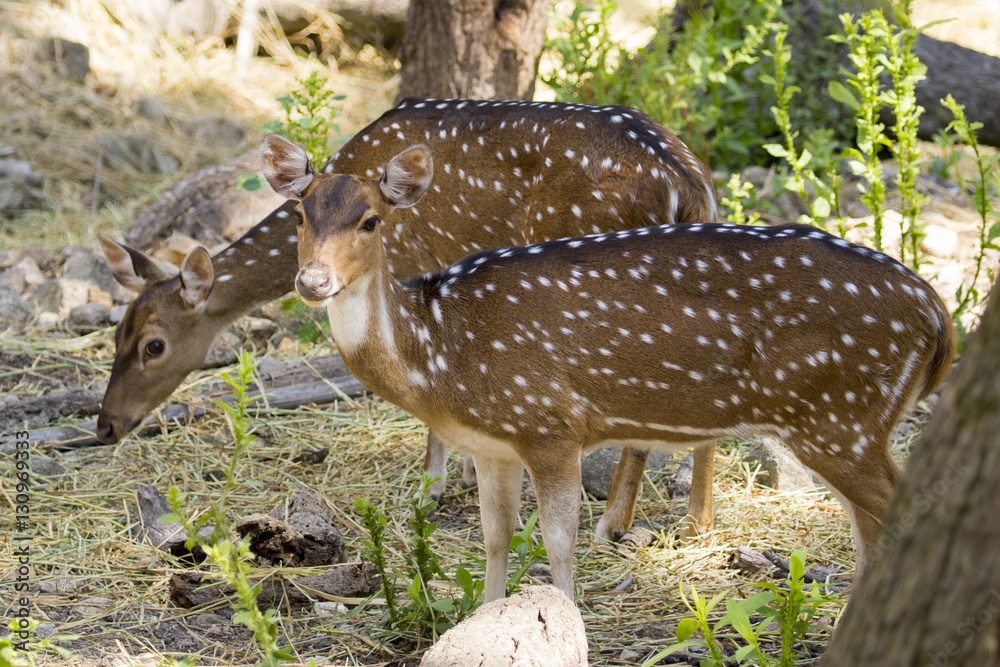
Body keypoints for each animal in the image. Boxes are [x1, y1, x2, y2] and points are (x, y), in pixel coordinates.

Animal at [96, 98, 718, 541]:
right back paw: (696, 521)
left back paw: (614, 522)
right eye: (116, 333)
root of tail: (686, 181)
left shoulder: (419, 266)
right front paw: (466, 472)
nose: (105, 425)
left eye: (154, 345)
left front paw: (431, 487)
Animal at [261, 135, 956, 602]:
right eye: (299, 215)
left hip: (839, 416)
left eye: (371, 220)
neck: (440, 355)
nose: (313, 281)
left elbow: (557, 541)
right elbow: (495, 537)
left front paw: (564, 618)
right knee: (872, 530)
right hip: (848, 423)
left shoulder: (550, 423)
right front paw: (487, 618)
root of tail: (937, 313)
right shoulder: (493, 445)